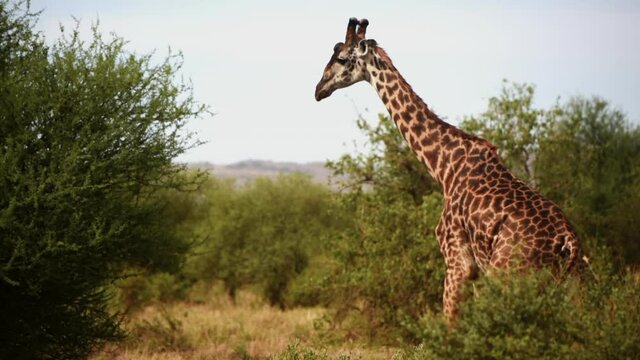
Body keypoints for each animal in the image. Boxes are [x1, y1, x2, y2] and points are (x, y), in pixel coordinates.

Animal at [316, 17, 584, 320]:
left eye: (340, 57)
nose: (318, 89)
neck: (443, 167)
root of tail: (567, 242)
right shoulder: (474, 269)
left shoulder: (457, 259)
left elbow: (450, 322)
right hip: (573, 287)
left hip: (509, 275)